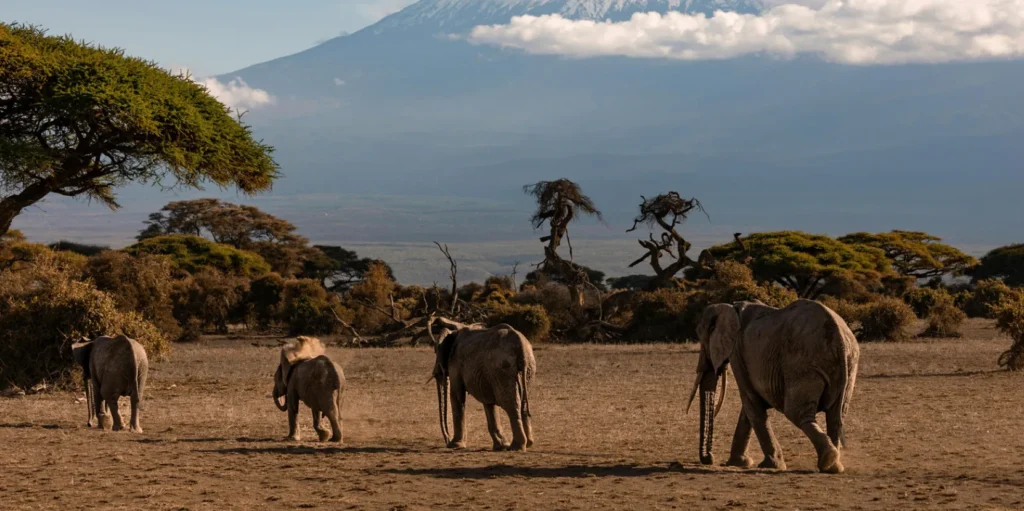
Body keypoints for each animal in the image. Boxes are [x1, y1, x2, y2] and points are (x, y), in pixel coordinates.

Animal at [427, 316, 536, 451]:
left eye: (435, 350)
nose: (447, 441)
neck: (456, 326)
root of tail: (520, 345)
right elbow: (488, 402)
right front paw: (500, 446)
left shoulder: (455, 363)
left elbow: (456, 396)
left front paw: (455, 445)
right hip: (528, 368)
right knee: (523, 402)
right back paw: (528, 443)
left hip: (502, 369)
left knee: (510, 404)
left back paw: (516, 447)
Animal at [687, 299, 859, 474]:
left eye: (703, 340)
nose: (709, 458)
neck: (730, 307)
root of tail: (839, 338)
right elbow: (749, 408)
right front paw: (739, 463)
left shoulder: (737, 353)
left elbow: (751, 403)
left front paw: (770, 465)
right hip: (848, 365)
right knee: (836, 415)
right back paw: (834, 466)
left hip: (803, 365)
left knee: (797, 413)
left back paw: (828, 459)